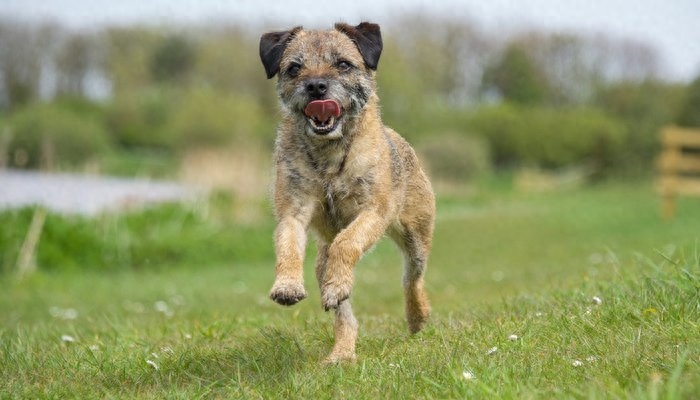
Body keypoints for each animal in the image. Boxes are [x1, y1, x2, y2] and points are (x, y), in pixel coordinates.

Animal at [260, 22, 434, 362]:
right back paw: (342, 352)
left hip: (417, 237)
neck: (329, 153)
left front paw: (338, 282)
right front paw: (287, 285)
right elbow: (287, 244)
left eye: (343, 64)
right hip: (321, 262)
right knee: (344, 314)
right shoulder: (293, 212)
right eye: (294, 68)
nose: (316, 87)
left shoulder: (373, 212)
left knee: (412, 278)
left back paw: (417, 317)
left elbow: (347, 242)